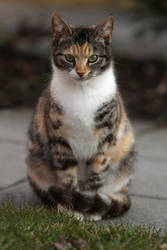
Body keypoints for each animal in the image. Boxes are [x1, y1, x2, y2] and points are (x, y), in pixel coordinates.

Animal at [26, 11, 135, 220]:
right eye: (69, 57)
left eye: (93, 58)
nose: (81, 72)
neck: (82, 93)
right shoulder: (60, 140)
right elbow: (68, 176)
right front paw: (71, 211)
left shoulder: (105, 141)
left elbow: (96, 175)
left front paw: (91, 208)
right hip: (35, 163)